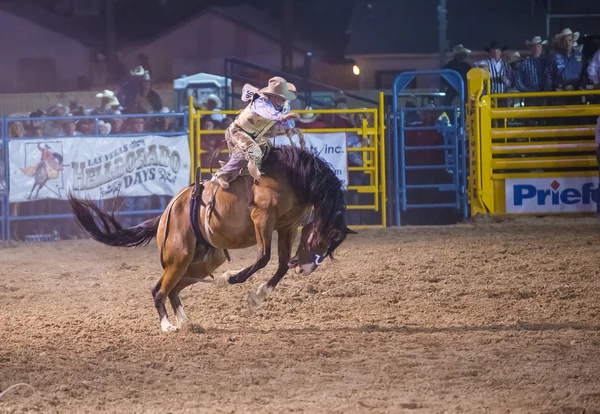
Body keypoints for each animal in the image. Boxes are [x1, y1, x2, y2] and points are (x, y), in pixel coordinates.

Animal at [69, 146, 356, 334]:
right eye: (323, 235)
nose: (306, 269)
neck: (293, 176)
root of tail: (166, 213)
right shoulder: (262, 219)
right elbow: (263, 258)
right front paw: (229, 278)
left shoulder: (286, 226)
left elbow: (282, 264)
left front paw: (257, 296)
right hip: (179, 258)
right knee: (160, 291)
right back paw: (168, 326)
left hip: (201, 261)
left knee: (171, 290)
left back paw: (186, 322)